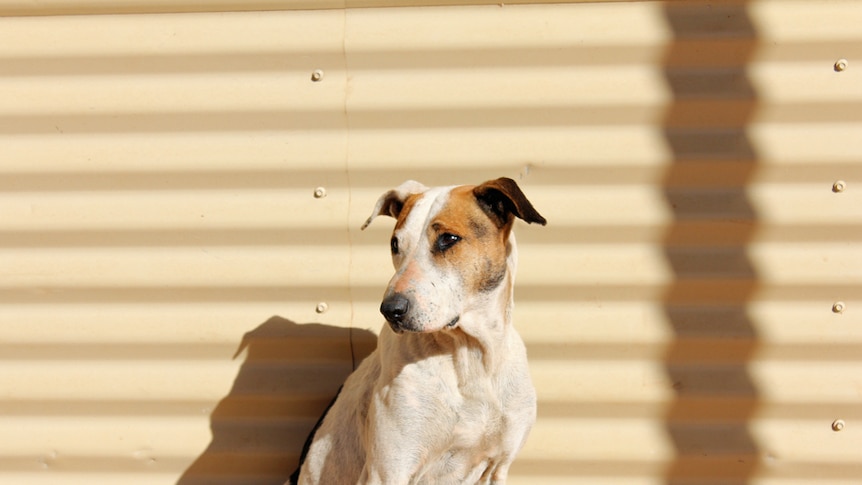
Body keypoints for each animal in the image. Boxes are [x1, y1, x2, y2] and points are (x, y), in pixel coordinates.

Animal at [290, 178, 548, 484]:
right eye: (394, 244)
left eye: (448, 239)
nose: (390, 310)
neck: (469, 354)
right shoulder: (389, 469)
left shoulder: (498, 468)